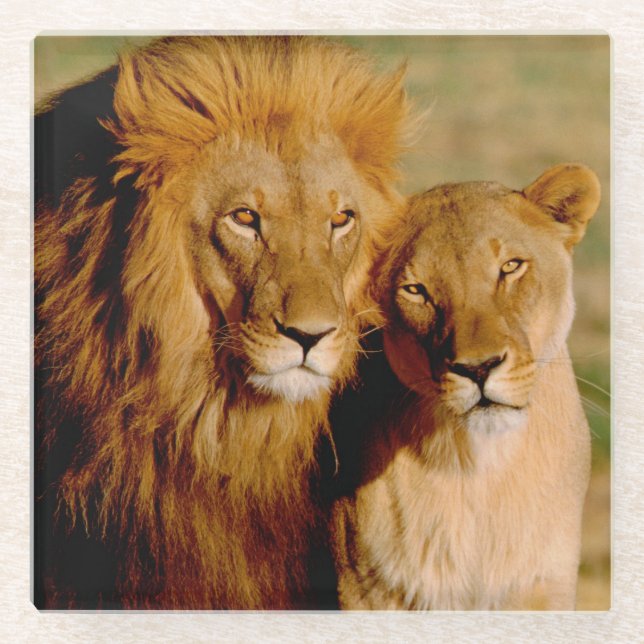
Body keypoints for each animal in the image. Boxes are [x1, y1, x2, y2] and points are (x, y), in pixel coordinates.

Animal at [330, 164, 601, 610]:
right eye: (416, 290)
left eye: (511, 267)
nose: (478, 368)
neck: (478, 472)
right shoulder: (365, 587)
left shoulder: (545, 585)